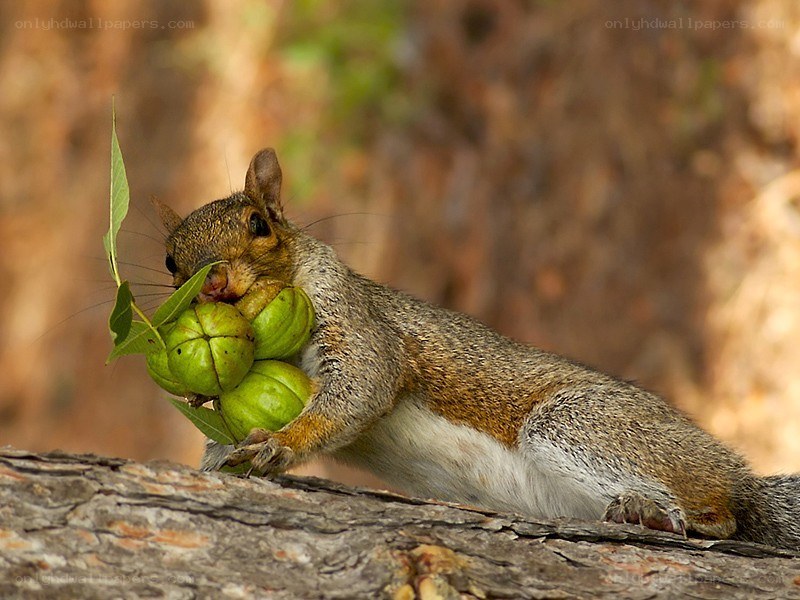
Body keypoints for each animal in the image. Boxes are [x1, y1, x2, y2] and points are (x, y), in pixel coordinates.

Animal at [155, 148, 800, 550]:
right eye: (169, 261)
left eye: (260, 225)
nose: (212, 283)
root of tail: (735, 472)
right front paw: (213, 457)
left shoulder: (355, 317)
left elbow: (362, 382)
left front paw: (280, 445)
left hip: (583, 422)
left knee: (725, 514)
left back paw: (659, 511)